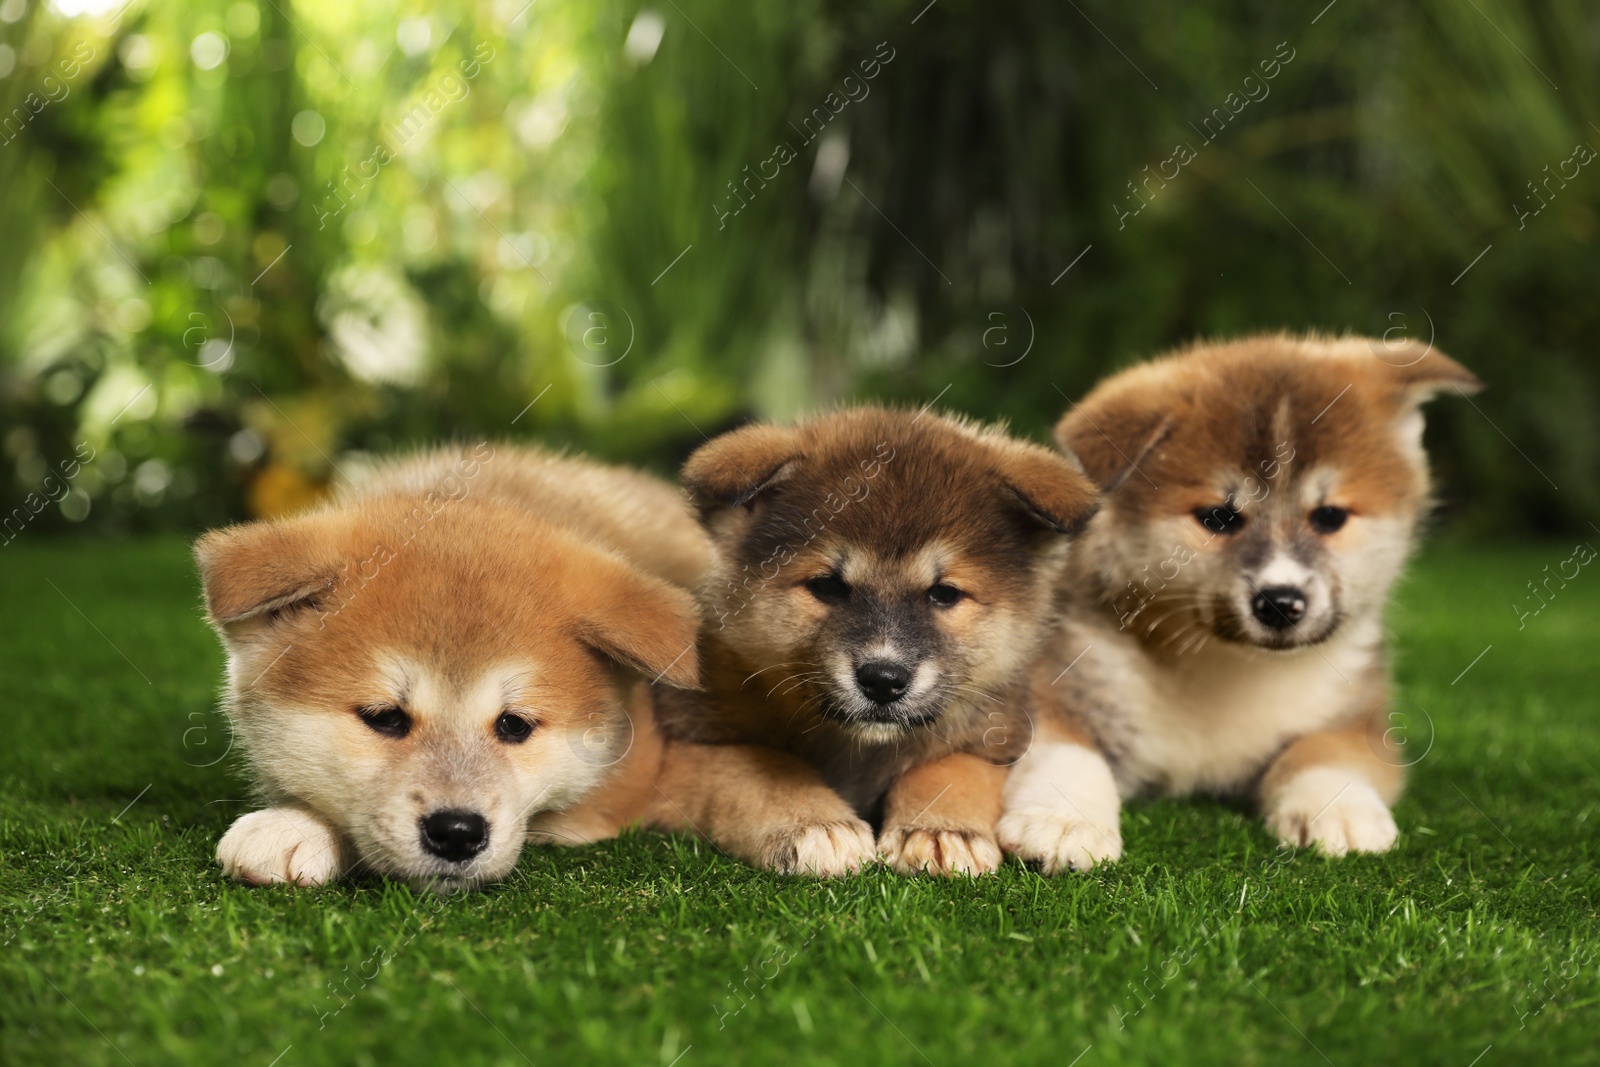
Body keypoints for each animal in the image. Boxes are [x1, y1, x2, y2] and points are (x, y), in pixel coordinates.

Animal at [646, 406, 1100, 876]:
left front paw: (940, 828)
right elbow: (760, 770)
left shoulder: (994, 739)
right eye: (827, 586)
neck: (859, 747)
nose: (883, 680)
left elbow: (951, 769)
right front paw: (815, 823)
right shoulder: (687, 749)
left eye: (944, 594)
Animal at [1004, 334, 1478, 870]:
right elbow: (1069, 751)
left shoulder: (1359, 716)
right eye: (1219, 517)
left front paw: (1339, 808)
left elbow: (1322, 750)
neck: (1224, 669)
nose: (1281, 602)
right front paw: (1064, 820)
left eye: (1330, 516)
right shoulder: (1056, 681)